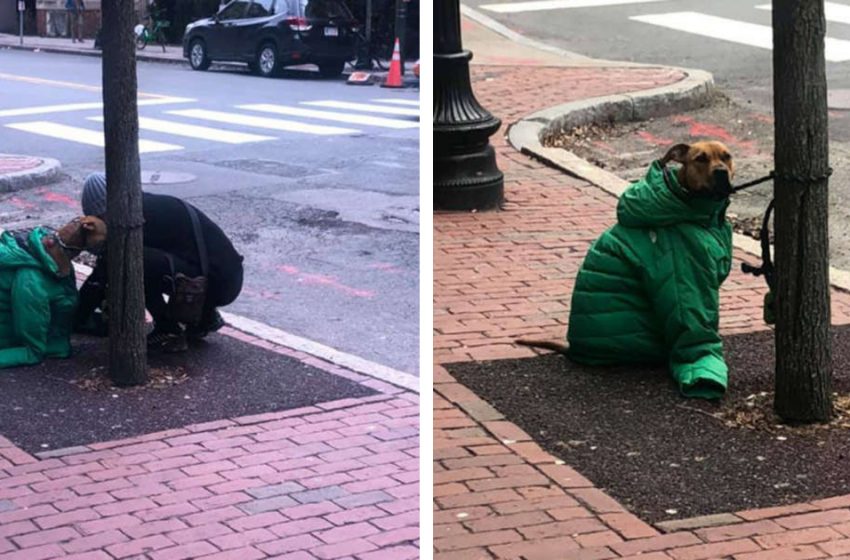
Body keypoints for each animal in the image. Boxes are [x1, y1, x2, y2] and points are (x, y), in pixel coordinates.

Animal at [516, 142, 736, 400]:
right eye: (700, 158)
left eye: (727, 156)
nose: (721, 172)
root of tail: (575, 348)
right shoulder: (686, 271)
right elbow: (694, 324)